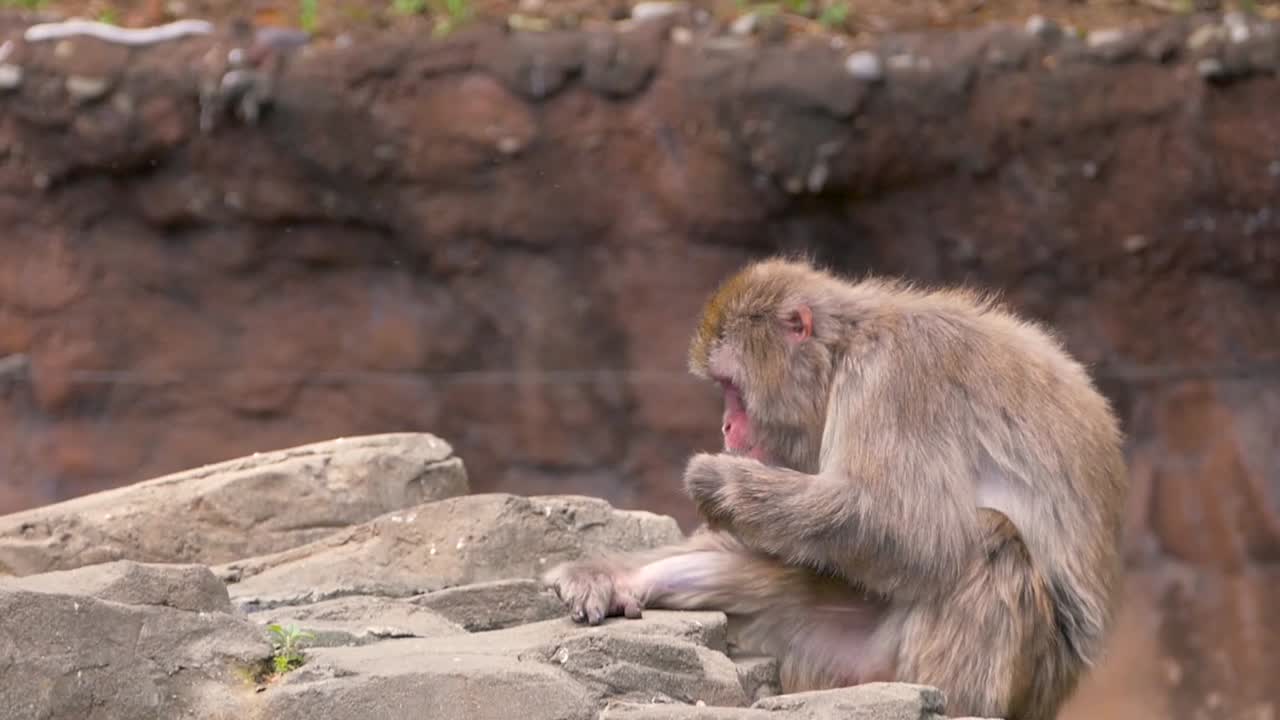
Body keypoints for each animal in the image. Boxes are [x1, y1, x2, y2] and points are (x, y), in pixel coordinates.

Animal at [543, 257, 1128, 720]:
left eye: (731, 387)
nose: (726, 428)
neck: (846, 349)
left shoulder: (893, 376)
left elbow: (910, 529)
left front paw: (717, 482)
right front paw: (610, 573)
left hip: (1027, 676)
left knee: (990, 538)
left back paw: (953, 703)